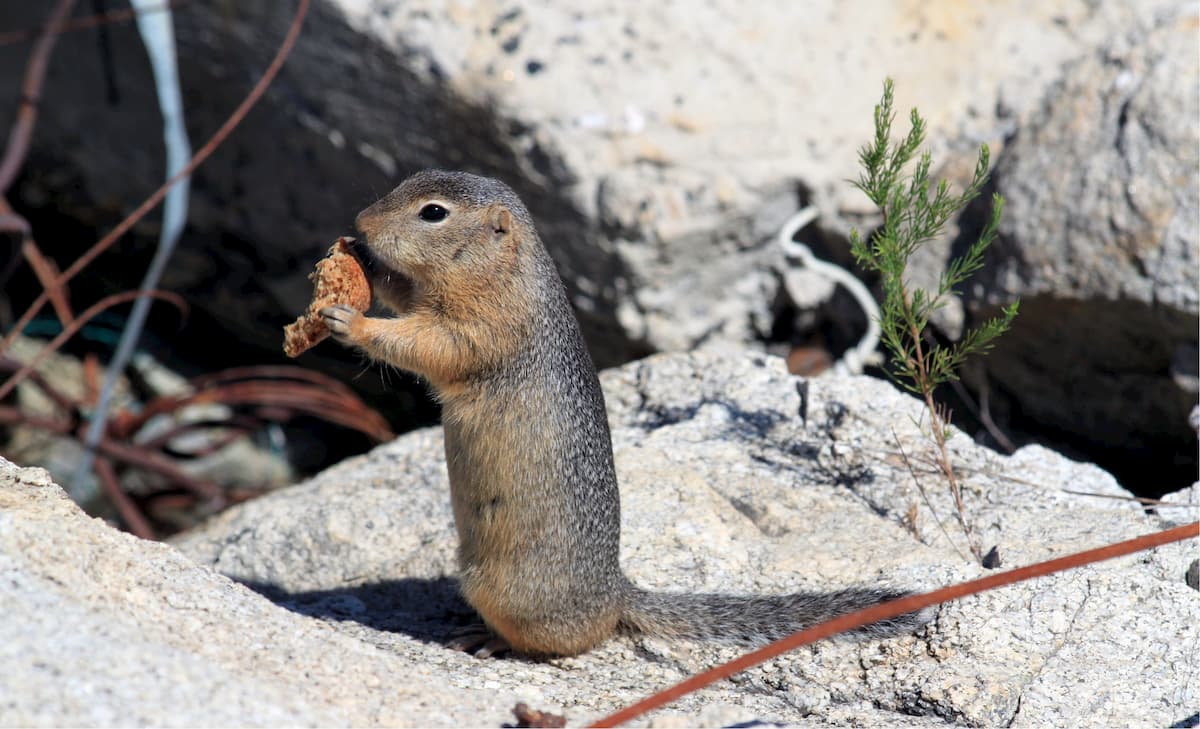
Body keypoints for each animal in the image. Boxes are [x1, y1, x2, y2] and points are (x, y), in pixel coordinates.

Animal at [320, 169, 926, 658]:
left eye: (433, 212)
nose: (360, 221)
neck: (502, 269)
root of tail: (616, 593)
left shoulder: (480, 329)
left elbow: (428, 346)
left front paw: (352, 321)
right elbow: (405, 299)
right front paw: (364, 264)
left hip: (502, 591)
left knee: (570, 641)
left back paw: (491, 640)